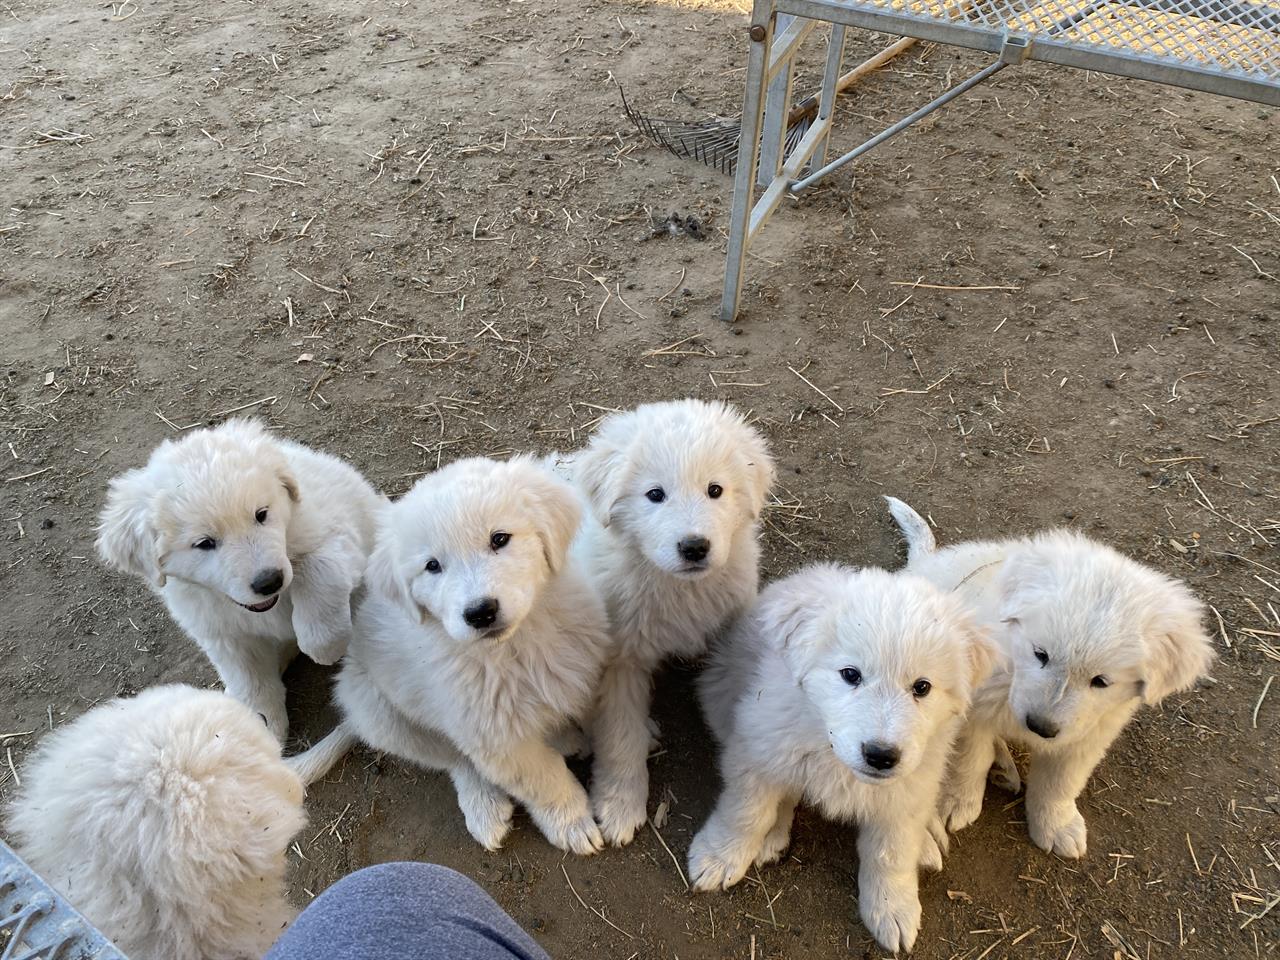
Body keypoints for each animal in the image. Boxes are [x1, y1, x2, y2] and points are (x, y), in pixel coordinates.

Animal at [97, 417, 381, 742]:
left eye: (261, 514)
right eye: (205, 543)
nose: (269, 581)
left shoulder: (336, 539)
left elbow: (319, 574)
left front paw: (325, 647)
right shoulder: (224, 634)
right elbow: (250, 680)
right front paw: (259, 725)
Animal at [330, 458, 609, 855]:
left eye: (500, 539)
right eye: (432, 566)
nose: (480, 612)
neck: (516, 648)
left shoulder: (584, 671)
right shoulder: (495, 739)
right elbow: (545, 780)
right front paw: (572, 824)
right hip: (383, 715)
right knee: (455, 760)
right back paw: (485, 807)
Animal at [565, 401, 773, 844]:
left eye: (715, 490)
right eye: (655, 495)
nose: (694, 547)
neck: (680, 588)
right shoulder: (619, 662)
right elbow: (619, 737)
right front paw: (620, 806)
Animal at [686, 563, 993, 957]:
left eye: (922, 687)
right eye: (850, 674)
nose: (881, 755)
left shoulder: (910, 788)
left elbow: (891, 851)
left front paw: (893, 909)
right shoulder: (759, 749)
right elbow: (745, 813)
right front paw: (719, 857)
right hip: (721, 694)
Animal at [885, 499, 1213, 860]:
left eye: (1101, 681)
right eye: (1040, 653)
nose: (1040, 727)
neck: (1012, 663)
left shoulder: (1088, 732)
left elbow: (1060, 782)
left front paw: (1057, 826)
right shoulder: (971, 712)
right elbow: (967, 760)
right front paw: (955, 803)